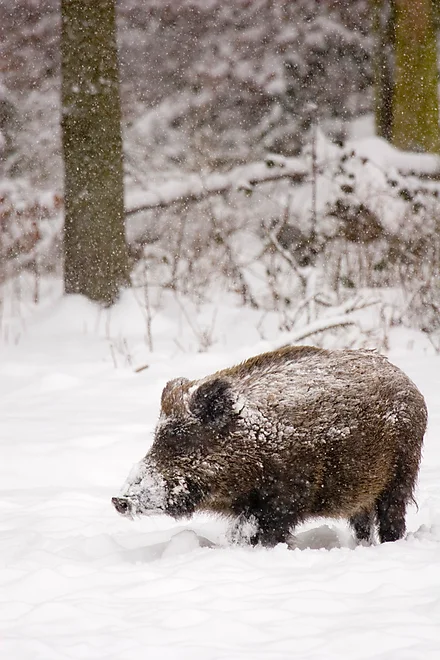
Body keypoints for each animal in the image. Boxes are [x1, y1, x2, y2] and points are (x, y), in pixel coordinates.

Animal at [112, 346, 427, 547]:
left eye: (182, 439)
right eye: (157, 437)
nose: (118, 500)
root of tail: (408, 381)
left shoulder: (283, 498)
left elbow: (257, 533)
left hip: (402, 474)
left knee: (392, 516)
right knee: (362, 521)